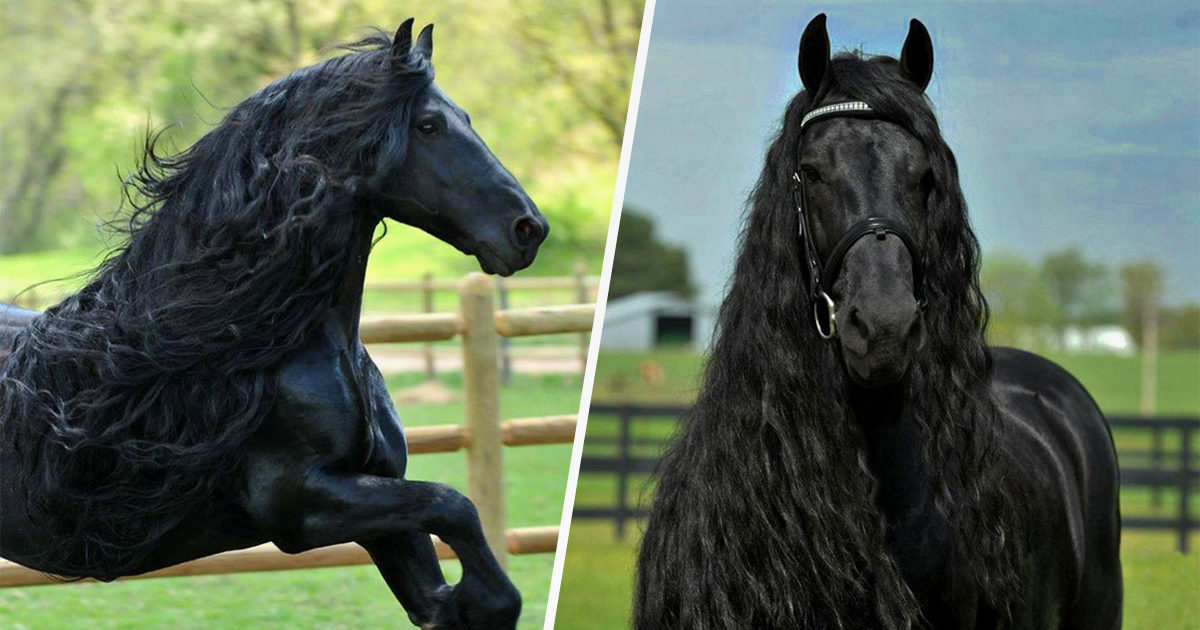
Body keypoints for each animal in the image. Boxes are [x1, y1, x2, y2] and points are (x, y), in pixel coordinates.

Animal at [0, 19, 547, 630]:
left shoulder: (382, 507)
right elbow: (455, 506)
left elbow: (448, 580)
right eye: (429, 125)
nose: (528, 229)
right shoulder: (304, 509)